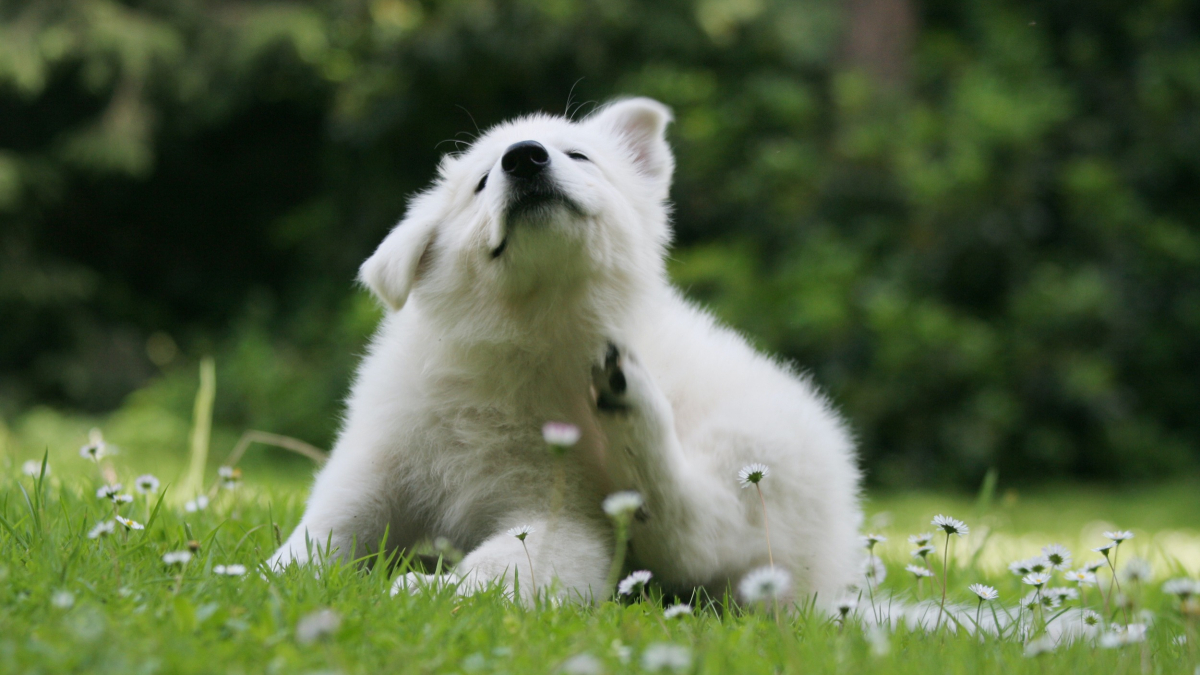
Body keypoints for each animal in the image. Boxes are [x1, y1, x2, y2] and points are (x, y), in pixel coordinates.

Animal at [270, 97, 864, 600]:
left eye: (579, 155)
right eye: (481, 182)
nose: (524, 158)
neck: (528, 336)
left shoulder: (565, 515)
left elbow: (502, 567)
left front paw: (425, 592)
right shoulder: (382, 457)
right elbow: (326, 528)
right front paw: (271, 576)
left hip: (758, 453)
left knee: (696, 532)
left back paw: (631, 400)